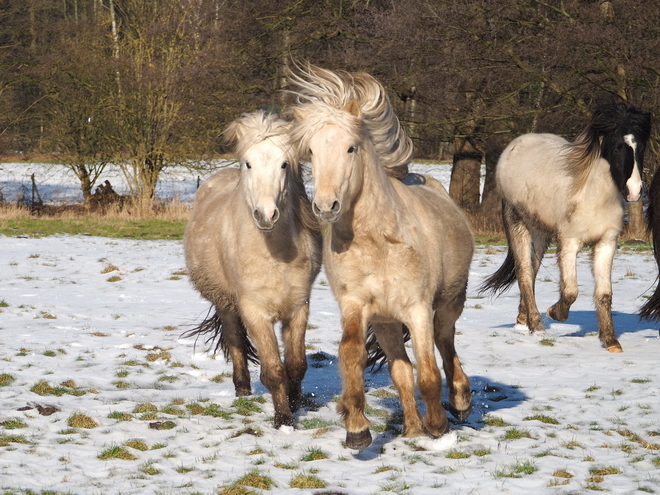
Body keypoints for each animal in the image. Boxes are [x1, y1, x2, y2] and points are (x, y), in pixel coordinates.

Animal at [183, 110, 322, 428]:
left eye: (284, 164)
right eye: (248, 163)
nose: (266, 215)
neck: (275, 254)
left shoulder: (298, 307)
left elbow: (296, 365)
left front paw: (295, 404)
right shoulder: (255, 312)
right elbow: (273, 369)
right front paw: (283, 419)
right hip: (226, 304)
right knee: (235, 341)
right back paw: (242, 389)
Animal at [288, 64, 474, 452]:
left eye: (350, 148)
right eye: (310, 151)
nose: (325, 206)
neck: (378, 243)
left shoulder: (417, 308)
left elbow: (429, 373)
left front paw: (438, 426)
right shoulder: (357, 305)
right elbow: (353, 354)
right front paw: (358, 430)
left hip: (448, 303)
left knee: (444, 341)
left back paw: (460, 402)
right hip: (387, 323)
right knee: (402, 369)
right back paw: (413, 428)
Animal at [476, 102, 652, 354]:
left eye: (641, 147)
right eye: (617, 146)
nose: (635, 191)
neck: (592, 195)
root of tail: (515, 146)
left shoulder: (606, 243)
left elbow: (604, 294)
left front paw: (611, 342)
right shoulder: (569, 243)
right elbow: (570, 291)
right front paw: (555, 313)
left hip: (540, 233)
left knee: (532, 271)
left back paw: (522, 321)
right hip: (517, 223)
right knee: (524, 273)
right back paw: (537, 327)